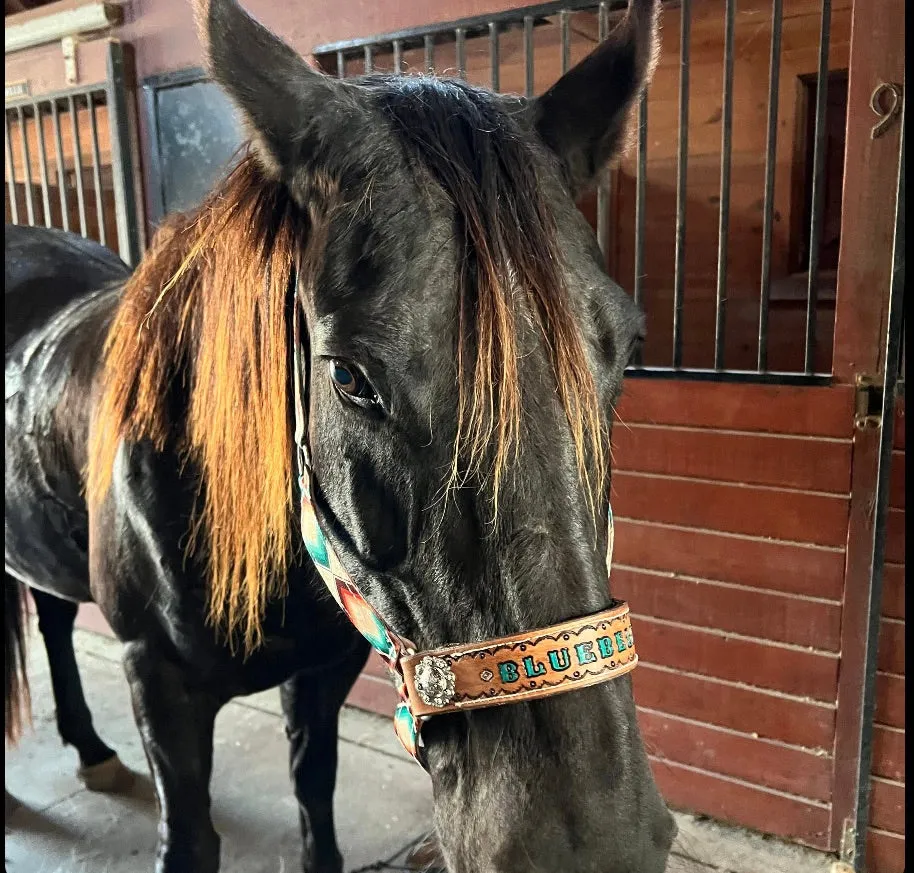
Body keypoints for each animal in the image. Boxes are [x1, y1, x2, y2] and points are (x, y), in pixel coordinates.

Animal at [3, 1, 672, 872]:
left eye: (625, 348)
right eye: (350, 376)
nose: (591, 843)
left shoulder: (325, 668)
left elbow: (313, 785)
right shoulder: (158, 684)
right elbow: (191, 834)